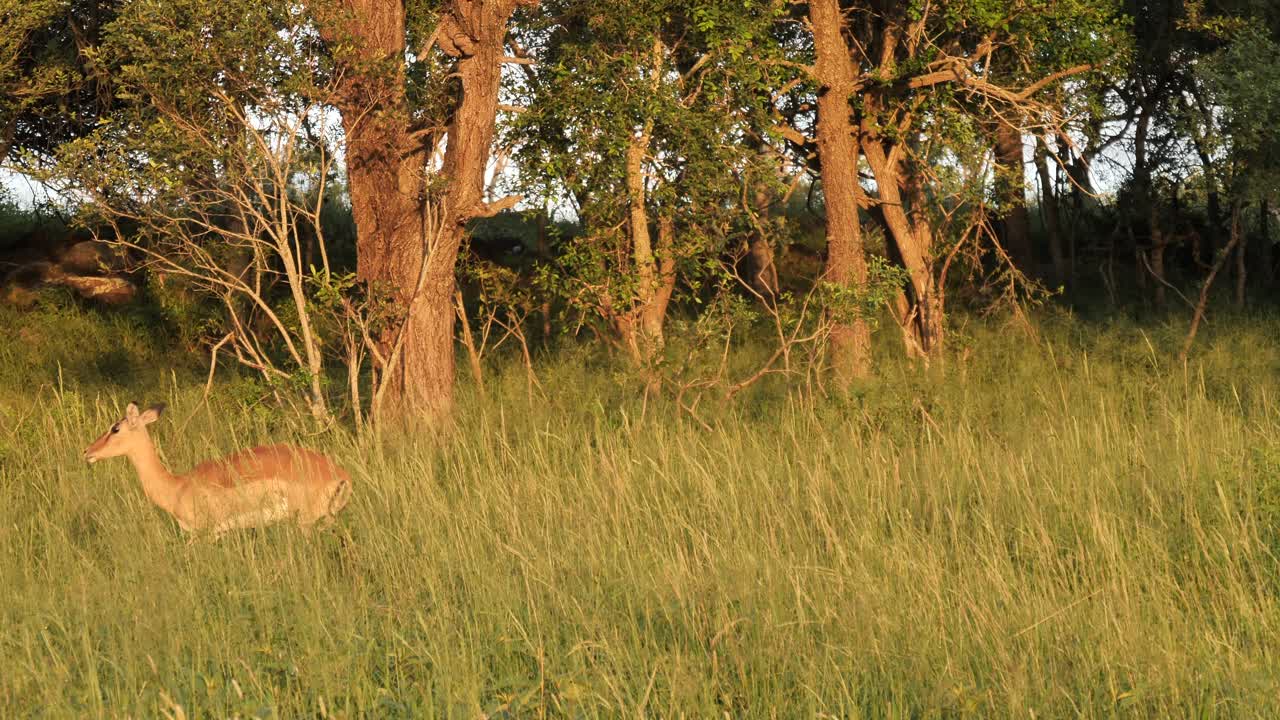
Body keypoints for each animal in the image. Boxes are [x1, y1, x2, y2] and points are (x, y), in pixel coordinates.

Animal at [84, 402, 352, 537]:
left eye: (115, 428)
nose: (88, 451)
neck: (177, 487)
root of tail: (341, 475)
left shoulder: (203, 535)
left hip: (305, 523)